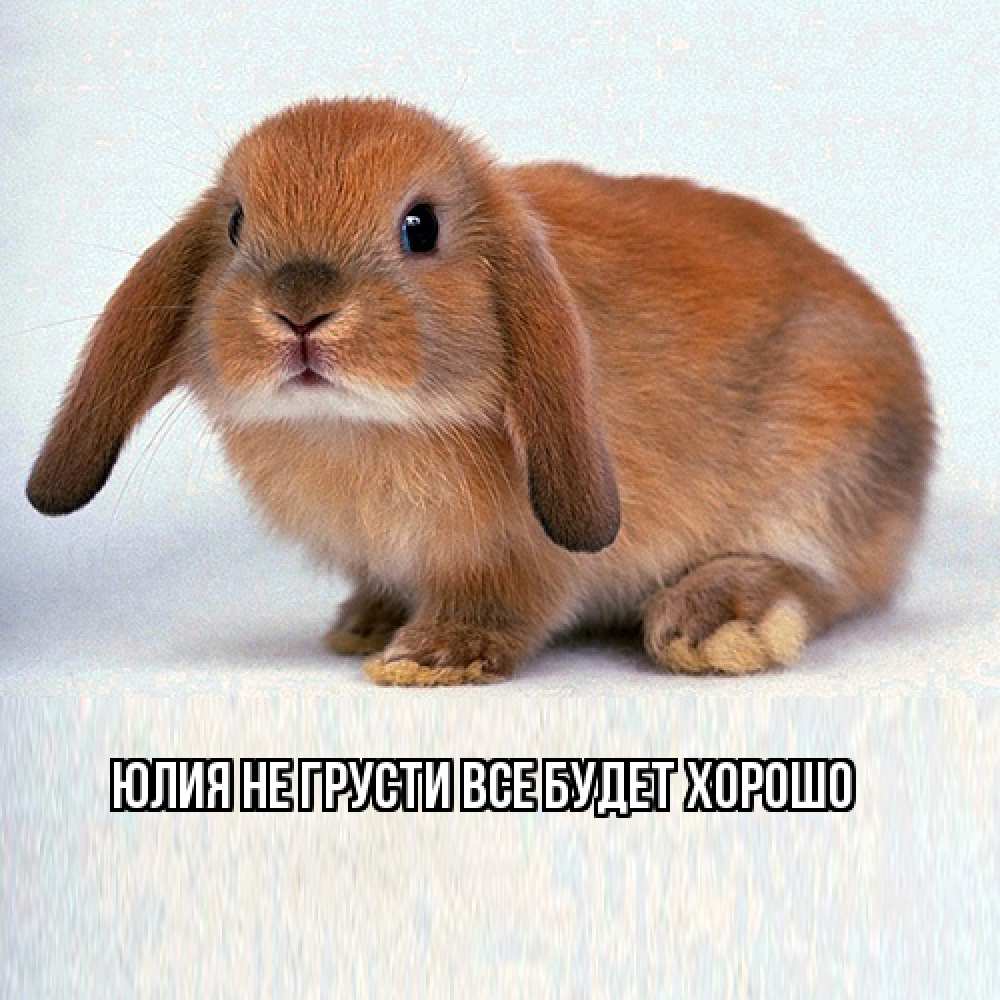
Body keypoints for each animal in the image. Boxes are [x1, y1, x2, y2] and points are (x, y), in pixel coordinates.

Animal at [26, 97, 934, 685]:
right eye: (237, 224)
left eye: (420, 227)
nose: (300, 311)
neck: (360, 427)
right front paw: (367, 626)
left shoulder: (518, 557)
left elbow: (506, 604)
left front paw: (429, 659)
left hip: (822, 471)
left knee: (824, 582)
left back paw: (714, 624)